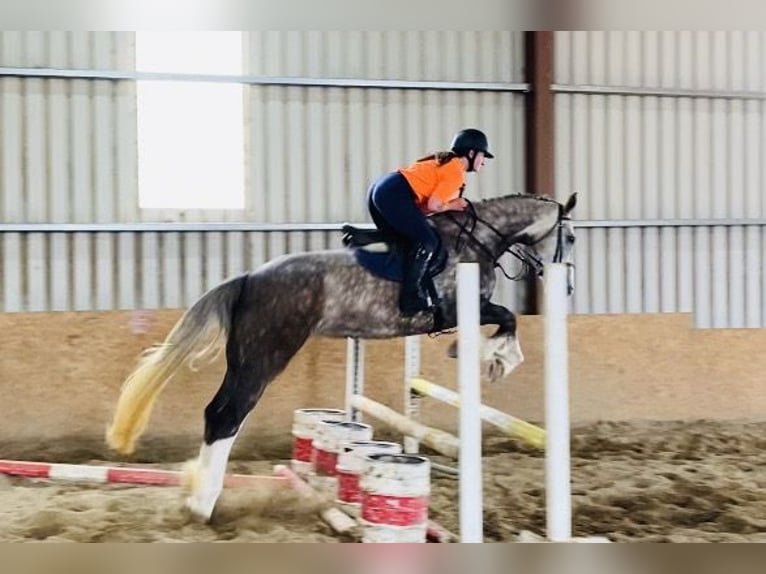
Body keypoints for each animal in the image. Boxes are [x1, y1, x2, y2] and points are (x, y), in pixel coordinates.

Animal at [106, 192, 576, 520]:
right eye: (570, 237)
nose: (568, 286)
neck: (477, 240)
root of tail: (250, 278)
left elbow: (505, 321)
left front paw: (488, 356)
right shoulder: (462, 307)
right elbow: (507, 320)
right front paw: (493, 358)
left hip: (244, 357)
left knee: (217, 412)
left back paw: (197, 492)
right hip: (265, 357)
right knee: (228, 415)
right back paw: (203, 503)